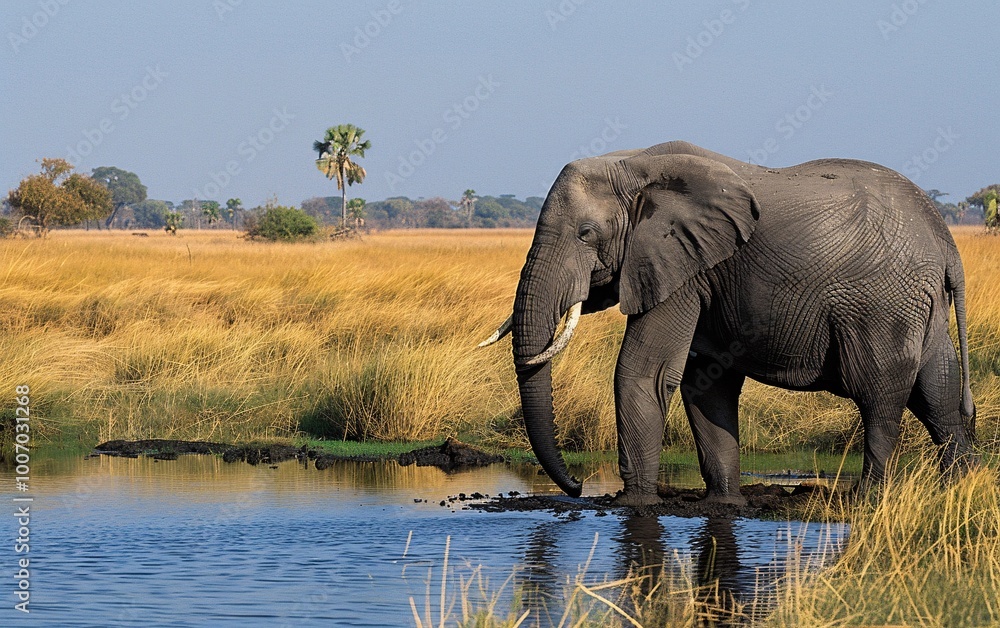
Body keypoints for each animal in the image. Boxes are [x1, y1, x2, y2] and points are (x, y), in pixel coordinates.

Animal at [481, 140, 976, 506]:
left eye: (586, 234)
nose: (578, 487)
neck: (633, 165)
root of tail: (946, 241)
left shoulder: (683, 267)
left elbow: (643, 373)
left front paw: (634, 505)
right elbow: (704, 383)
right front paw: (724, 505)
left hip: (883, 304)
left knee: (878, 395)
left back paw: (869, 500)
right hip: (921, 305)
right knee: (939, 395)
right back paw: (963, 489)